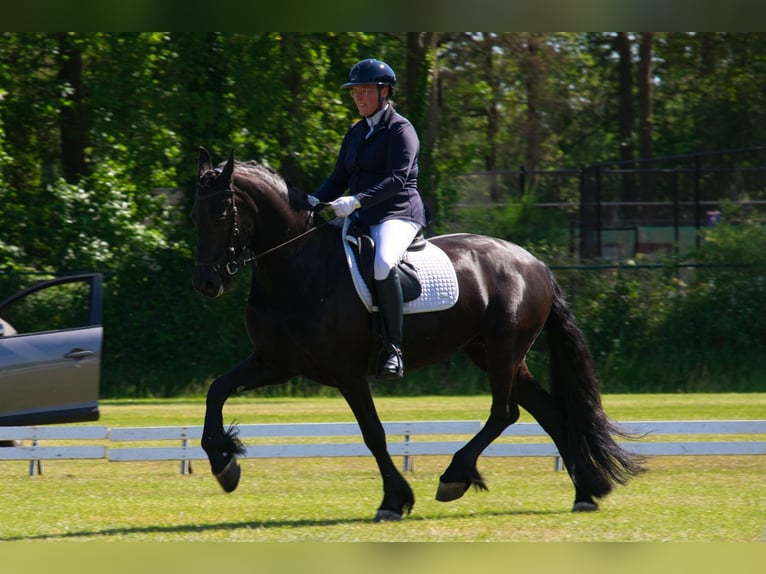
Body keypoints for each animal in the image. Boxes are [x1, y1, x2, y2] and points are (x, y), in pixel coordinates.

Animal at [194, 147, 648, 520]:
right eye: (194, 216)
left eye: (221, 215)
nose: (207, 284)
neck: (298, 268)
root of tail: (533, 262)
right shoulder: (275, 363)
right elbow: (217, 390)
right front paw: (224, 462)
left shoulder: (348, 374)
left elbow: (373, 433)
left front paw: (394, 500)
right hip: (491, 352)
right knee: (548, 411)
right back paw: (586, 492)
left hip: (503, 351)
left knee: (506, 413)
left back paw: (456, 476)